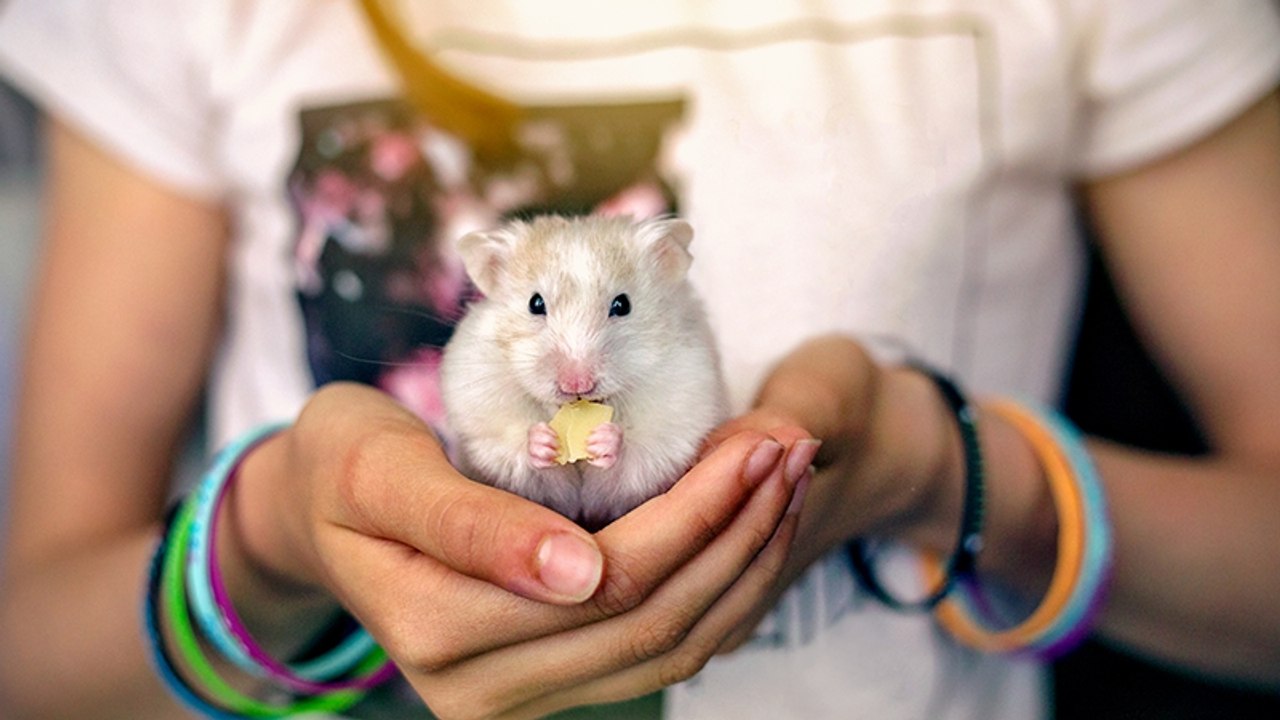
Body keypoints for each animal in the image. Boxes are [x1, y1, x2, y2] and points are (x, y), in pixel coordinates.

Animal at [439, 214, 729, 530]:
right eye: (535, 303)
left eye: (622, 304)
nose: (576, 384)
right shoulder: (485, 428)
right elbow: (518, 454)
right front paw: (542, 441)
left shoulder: (674, 426)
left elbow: (635, 456)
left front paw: (604, 440)